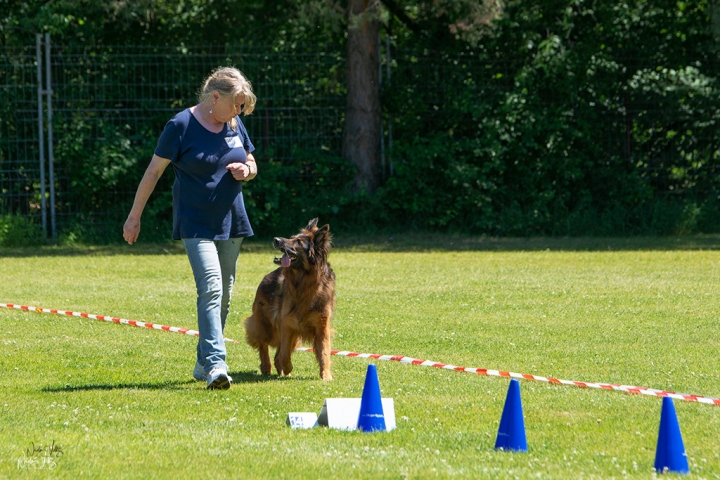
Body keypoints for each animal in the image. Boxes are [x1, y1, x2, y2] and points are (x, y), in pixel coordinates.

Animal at [243, 219, 336, 380]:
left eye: (298, 242)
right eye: (291, 237)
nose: (276, 239)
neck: (304, 284)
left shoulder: (322, 327)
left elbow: (324, 353)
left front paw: (326, 376)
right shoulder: (287, 324)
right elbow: (284, 355)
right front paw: (287, 368)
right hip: (264, 325)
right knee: (263, 344)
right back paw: (266, 366)